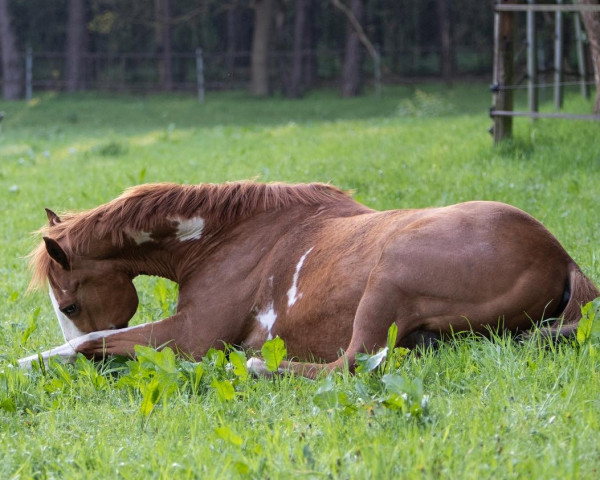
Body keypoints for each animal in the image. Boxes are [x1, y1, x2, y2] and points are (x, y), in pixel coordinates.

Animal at [21, 182, 596, 376]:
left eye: (68, 305)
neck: (225, 237)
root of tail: (558, 255)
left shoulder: (191, 337)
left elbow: (91, 342)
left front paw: (29, 364)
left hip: (388, 280)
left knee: (352, 364)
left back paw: (254, 366)